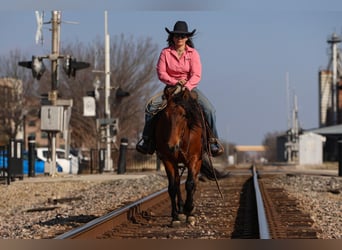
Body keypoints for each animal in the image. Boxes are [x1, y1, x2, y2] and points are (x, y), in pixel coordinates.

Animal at [155, 84, 227, 227]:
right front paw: (176, 216)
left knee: (194, 182)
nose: (172, 146)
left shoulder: (194, 159)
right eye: (165, 115)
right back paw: (181, 210)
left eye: (183, 115)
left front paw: (190, 212)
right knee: (177, 182)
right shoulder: (168, 160)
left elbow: (190, 184)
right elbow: (173, 186)